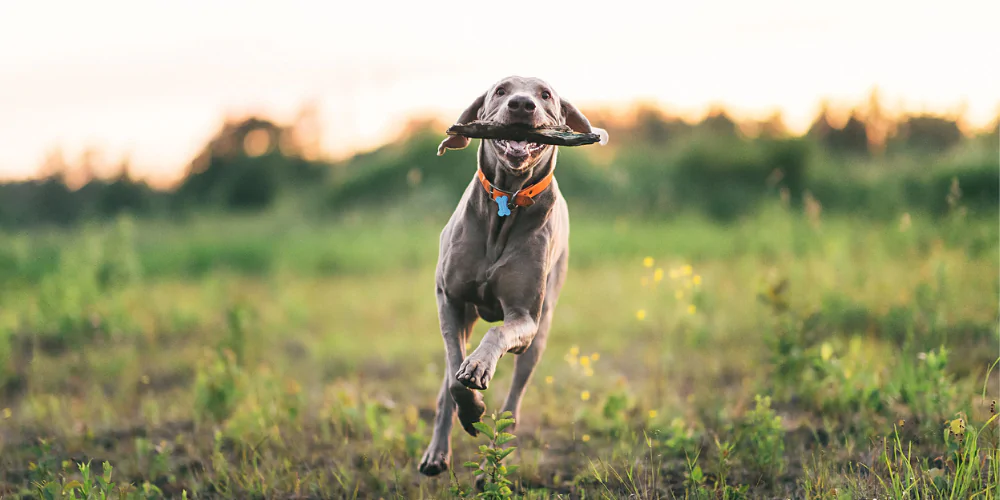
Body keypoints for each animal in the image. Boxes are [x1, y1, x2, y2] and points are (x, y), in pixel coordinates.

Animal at [416, 75, 604, 476]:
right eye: (501, 90)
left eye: (545, 95)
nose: (521, 105)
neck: (508, 197)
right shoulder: (450, 300)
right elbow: (455, 378)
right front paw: (471, 408)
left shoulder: (525, 317)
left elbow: (499, 333)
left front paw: (480, 368)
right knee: (447, 381)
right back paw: (437, 453)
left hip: (541, 332)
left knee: (513, 404)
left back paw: (492, 462)